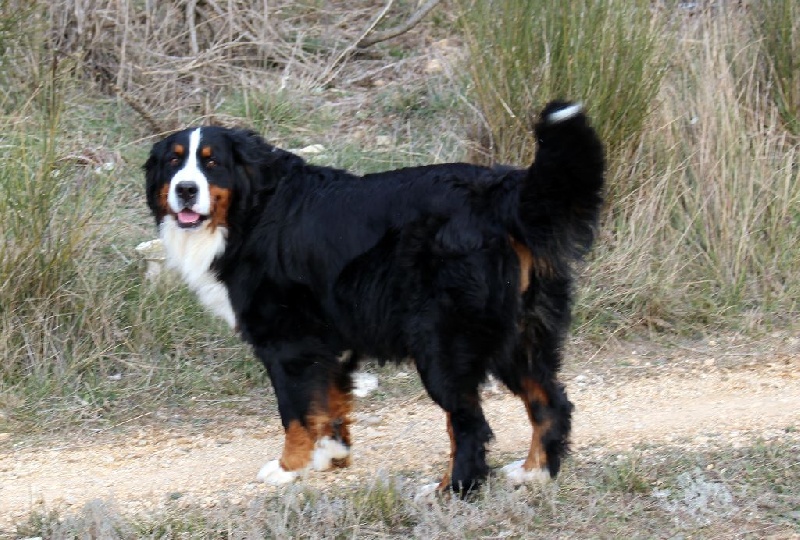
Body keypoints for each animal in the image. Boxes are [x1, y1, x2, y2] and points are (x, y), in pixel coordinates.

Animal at [145, 99, 608, 496]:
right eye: (174, 162)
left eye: (212, 163)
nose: (186, 190)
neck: (253, 210)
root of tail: (501, 195)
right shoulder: (326, 340)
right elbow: (327, 402)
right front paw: (330, 455)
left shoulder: (286, 342)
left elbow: (294, 411)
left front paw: (289, 467)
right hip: (521, 334)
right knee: (551, 402)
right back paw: (534, 473)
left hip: (443, 345)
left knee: (470, 426)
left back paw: (450, 491)